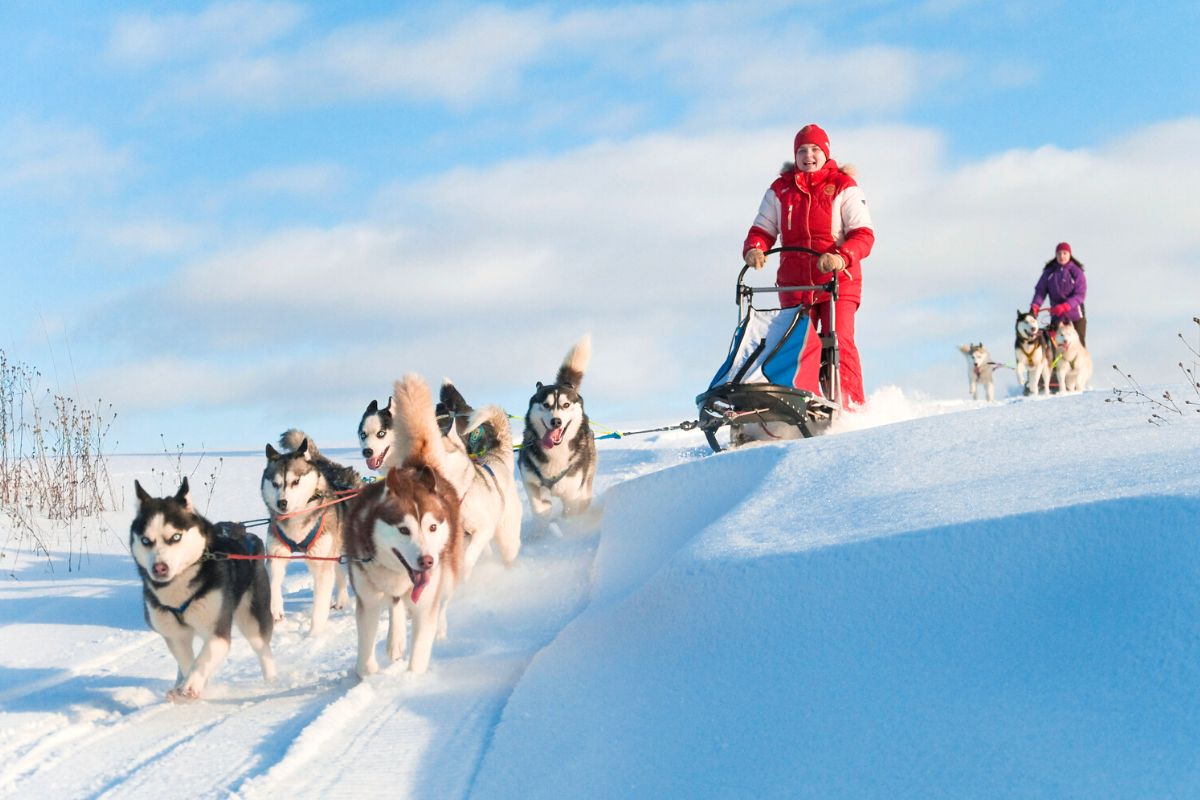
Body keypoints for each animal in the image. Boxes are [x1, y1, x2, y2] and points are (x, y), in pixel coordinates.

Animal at [130, 482, 274, 700]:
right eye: (146, 541)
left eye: (176, 537)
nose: (159, 568)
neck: (178, 591)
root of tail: (247, 534)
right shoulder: (175, 635)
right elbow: (187, 662)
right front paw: (188, 685)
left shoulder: (218, 631)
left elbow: (203, 659)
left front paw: (191, 685)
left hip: (253, 620)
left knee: (263, 650)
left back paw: (271, 681)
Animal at [260, 431, 357, 638]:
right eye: (275, 483)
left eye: (295, 481)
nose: (282, 503)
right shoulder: (276, 554)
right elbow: (273, 583)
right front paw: (275, 609)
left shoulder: (320, 564)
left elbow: (319, 606)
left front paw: (314, 634)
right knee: (339, 573)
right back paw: (341, 600)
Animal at [345, 376, 465, 676]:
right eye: (403, 530)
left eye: (432, 528)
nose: (427, 561)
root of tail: (417, 466)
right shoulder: (368, 601)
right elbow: (365, 662)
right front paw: (371, 673)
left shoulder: (426, 601)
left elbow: (419, 654)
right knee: (396, 604)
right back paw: (395, 638)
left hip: (449, 573)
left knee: (441, 602)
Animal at [520, 335, 600, 522]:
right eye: (545, 405)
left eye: (566, 405)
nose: (556, 421)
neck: (555, 454)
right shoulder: (528, 478)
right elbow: (539, 508)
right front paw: (545, 513)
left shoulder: (572, 494)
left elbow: (569, 514)